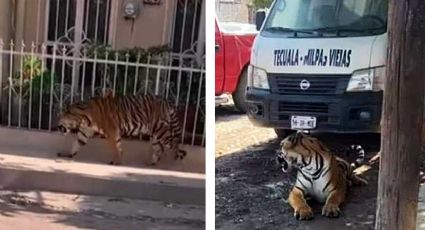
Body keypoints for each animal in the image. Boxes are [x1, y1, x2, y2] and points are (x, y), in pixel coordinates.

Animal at [56, 92, 186, 165]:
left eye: (60, 119)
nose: (57, 126)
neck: (83, 119)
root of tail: (167, 100)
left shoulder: (111, 132)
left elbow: (115, 147)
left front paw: (115, 161)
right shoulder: (85, 132)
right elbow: (76, 143)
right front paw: (68, 155)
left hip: (160, 130)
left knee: (174, 143)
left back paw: (172, 162)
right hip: (154, 135)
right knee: (159, 148)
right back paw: (152, 163)